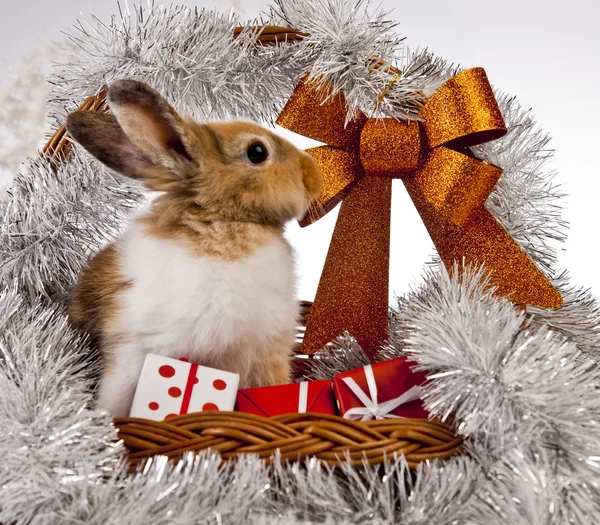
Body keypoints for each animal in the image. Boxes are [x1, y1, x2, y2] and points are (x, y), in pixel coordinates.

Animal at [64, 80, 324, 418]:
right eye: (257, 152)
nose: (314, 172)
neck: (223, 221)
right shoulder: (132, 351)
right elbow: (115, 398)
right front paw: (109, 421)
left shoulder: (265, 355)